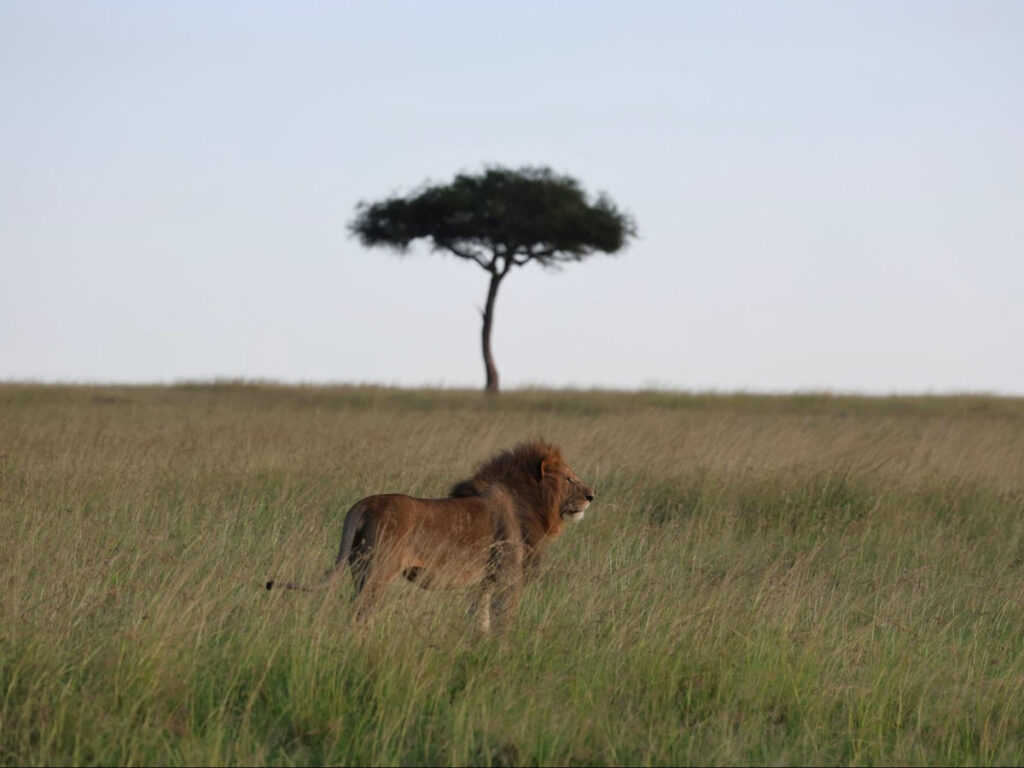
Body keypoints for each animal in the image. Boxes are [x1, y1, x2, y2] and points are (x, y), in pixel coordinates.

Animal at [266, 440, 594, 631]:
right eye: (569, 479)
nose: (591, 496)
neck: (529, 502)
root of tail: (363, 505)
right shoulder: (507, 576)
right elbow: (504, 619)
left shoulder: (485, 582)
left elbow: (480, 618)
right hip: (377, 573)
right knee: (360, 614)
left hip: (358, 569)